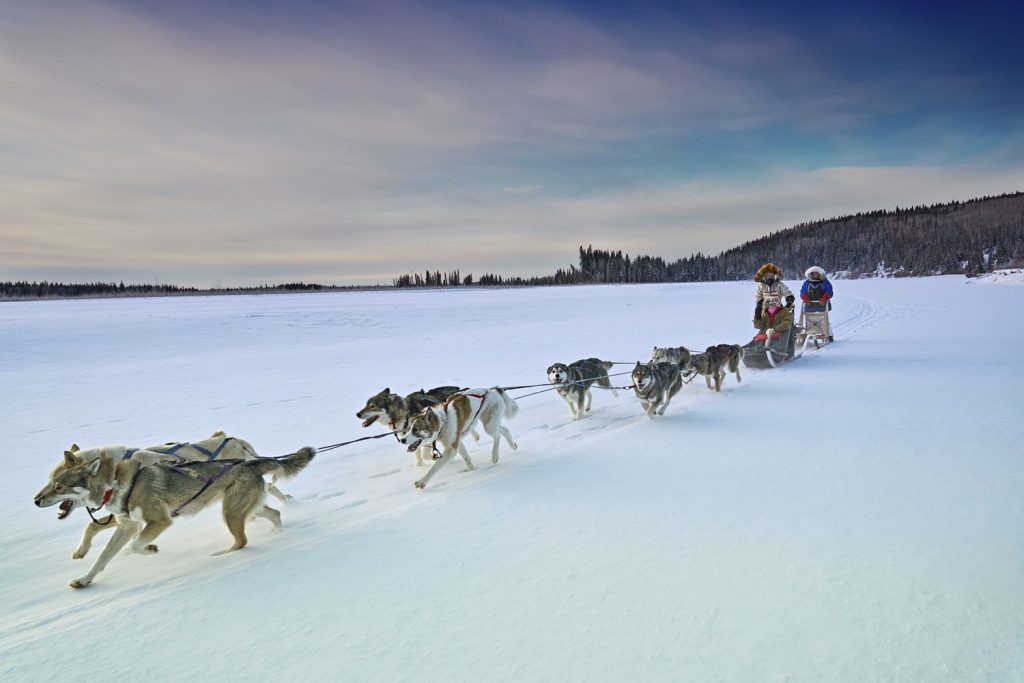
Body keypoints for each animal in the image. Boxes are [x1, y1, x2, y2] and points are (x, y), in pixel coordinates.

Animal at [34, 446, 313, 589]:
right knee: (274, 513)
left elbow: (135, 544)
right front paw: (85, 579)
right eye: (53, 483)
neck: (115, 483)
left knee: (242, 541)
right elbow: (102, 558)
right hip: (243, 509)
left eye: (59, 486)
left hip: (230, 514)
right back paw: (278, 534)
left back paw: (223, 556)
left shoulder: (159, 521)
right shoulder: (127, 525)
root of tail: (250, 462)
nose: (36, 501)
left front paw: (151, 548)